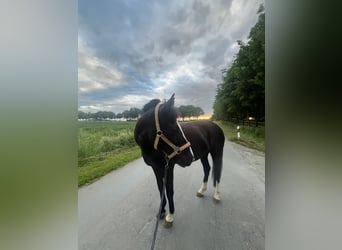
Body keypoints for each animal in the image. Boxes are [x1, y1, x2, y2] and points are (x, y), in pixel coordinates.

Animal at [134, 93, 224, 227]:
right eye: (174, 129)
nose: (190, 157)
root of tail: (216, 126)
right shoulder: (155, 168)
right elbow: (160, 189)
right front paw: (161, 211)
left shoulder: (169, 167)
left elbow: (169, 190)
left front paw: (170, 216)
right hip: (204, 155)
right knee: (207, 169)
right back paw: (201, 190)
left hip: (217, 153)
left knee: (217, 173)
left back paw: (217, 196)